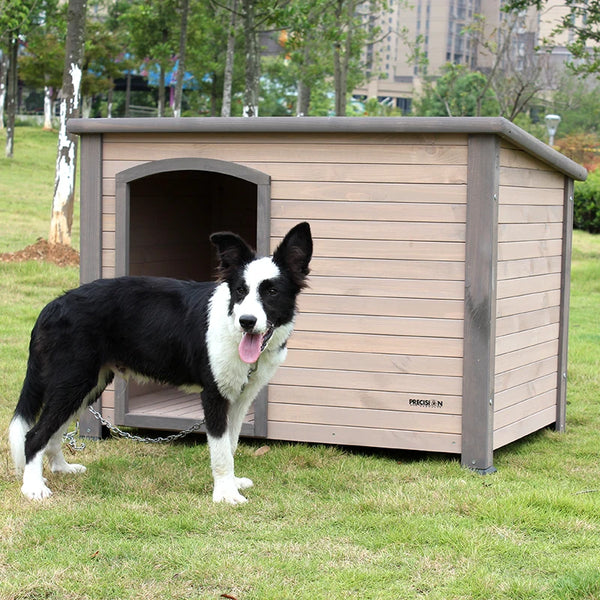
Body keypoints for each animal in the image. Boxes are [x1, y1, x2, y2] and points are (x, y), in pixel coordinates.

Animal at [9, 223, 314, 504]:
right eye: (240, 290)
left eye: (271, 292)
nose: (247, 321)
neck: (231, 323)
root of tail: (52, 306)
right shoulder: (214, 396)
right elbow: (220, 452)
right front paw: (226, 494)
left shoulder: (240, 399)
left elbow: (231, 444)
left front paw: (232, 483)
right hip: (73, 382)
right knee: (34, 435)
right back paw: (33, 487)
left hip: (87, 386)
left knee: (53, 433)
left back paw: (60, 468)